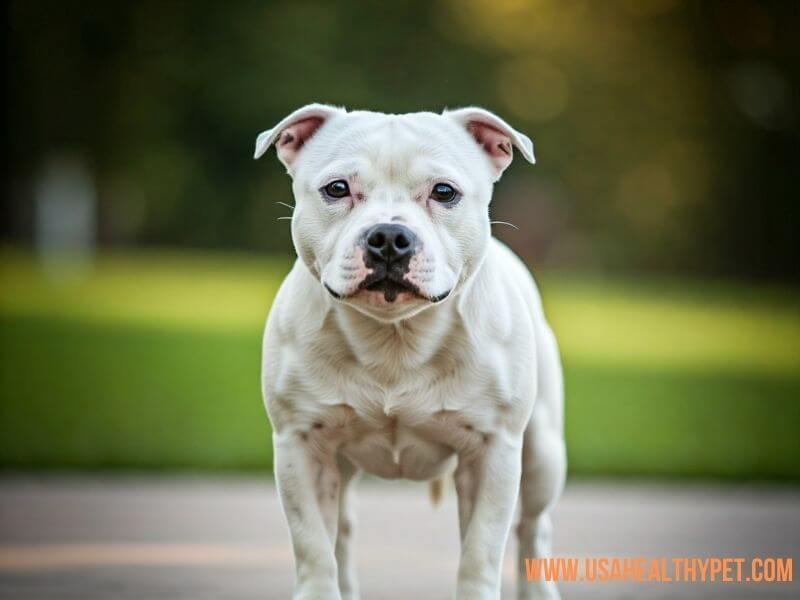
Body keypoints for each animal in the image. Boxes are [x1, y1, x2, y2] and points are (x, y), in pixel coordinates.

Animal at [255, 105, 564, 596]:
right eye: (336, 188)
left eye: (444, 192)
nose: (387, 236)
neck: (394, 337)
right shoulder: (301, 447)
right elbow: (314, 548)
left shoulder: (493, 451)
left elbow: (480, 553)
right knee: (343, 530)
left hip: (542, 455)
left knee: (533, 528)